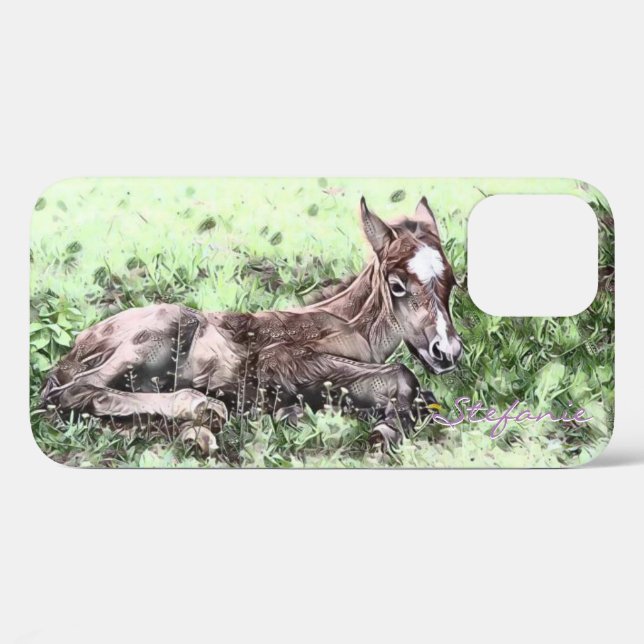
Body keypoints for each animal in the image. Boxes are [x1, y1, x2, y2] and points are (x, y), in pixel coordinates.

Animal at [41, 197, 463, 452]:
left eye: (453, 281)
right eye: (397, 284)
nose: (447, 351)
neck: (350, 326)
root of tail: (75, 348)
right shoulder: (280, 362)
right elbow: (401, 374)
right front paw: (384, 429)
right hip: (165, 327)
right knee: (72, 391)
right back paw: (202, 407)